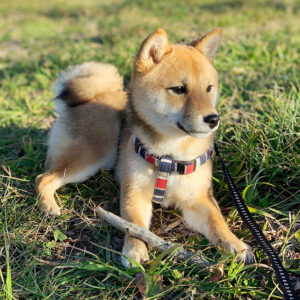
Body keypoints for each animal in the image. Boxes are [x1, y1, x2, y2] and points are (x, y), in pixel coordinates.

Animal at [35, 29, 253, 266]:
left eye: (209, 88)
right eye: (179, 89)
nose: (213, 119)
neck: (170, 156)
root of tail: (87, 100)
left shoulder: (198, 199)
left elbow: (217, 222)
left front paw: (236, 245)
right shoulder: (135, 193)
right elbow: (135, 225)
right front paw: (135, 250)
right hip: (87, 160)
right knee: (43, 178)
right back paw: (48, 206)